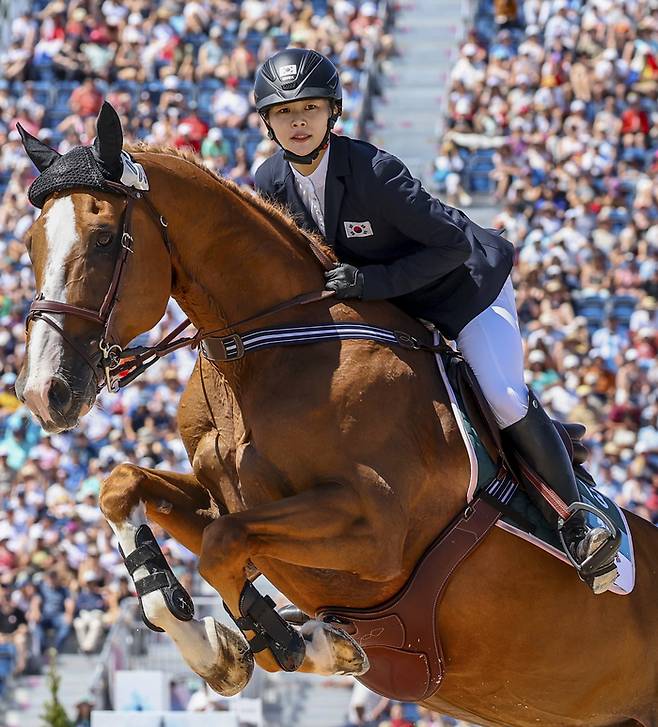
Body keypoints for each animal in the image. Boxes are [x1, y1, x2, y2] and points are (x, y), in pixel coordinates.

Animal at [15, 109, 656, 727]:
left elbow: (224, 546)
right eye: (29, 244)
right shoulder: (225, 498)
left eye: (104, 239)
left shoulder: (376, 532)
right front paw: (222, 647)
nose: (44, 392)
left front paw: (295, 642)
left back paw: (591, 540)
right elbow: (124, 487)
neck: (265, 351)